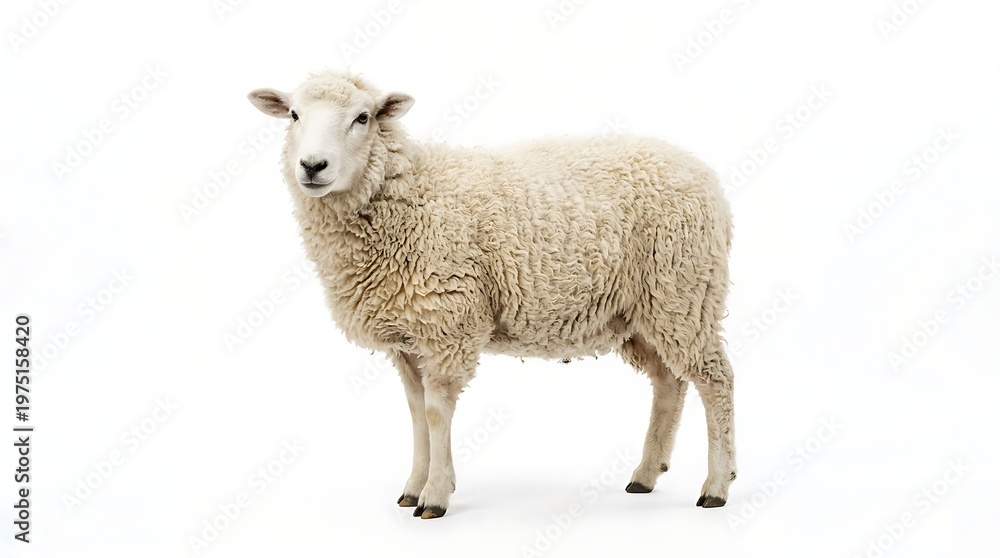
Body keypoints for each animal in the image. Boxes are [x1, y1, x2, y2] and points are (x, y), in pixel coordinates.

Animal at [247, 71, 736, 519]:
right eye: (294, 115)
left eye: (362, 117)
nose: (313, 166)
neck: (410, 194)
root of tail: (702, 172)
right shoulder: (408, 338)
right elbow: (416, 413)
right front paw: (414, 485)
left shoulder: (447, 324)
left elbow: (436, 413)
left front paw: (435, 495)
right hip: (641, 312)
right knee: (669, 383)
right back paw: (646, 474)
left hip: (683, 291)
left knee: (716, 380)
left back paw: (716, 485)